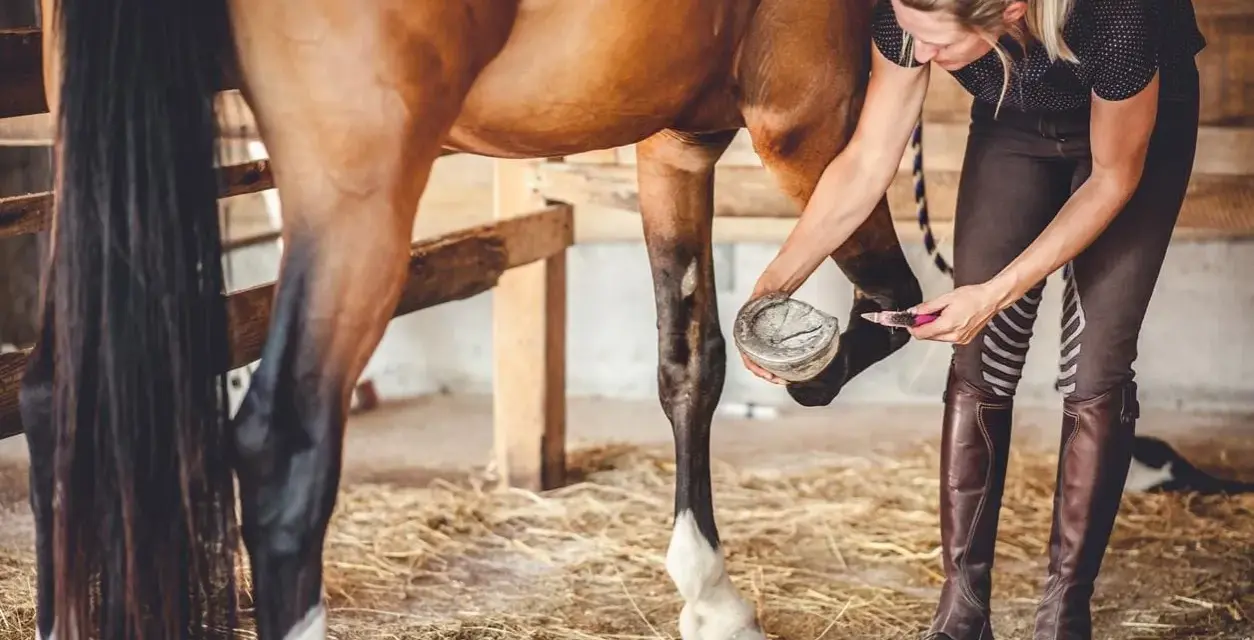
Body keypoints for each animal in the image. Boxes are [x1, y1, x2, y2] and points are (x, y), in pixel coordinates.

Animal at [22, 0, 926, 638]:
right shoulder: (810, 120)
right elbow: (889, 292)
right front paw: (814, 370)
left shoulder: (676, 144)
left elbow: (689, 363)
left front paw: (710, 599)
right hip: (355, 197)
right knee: (281, 455)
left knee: (51, 404)